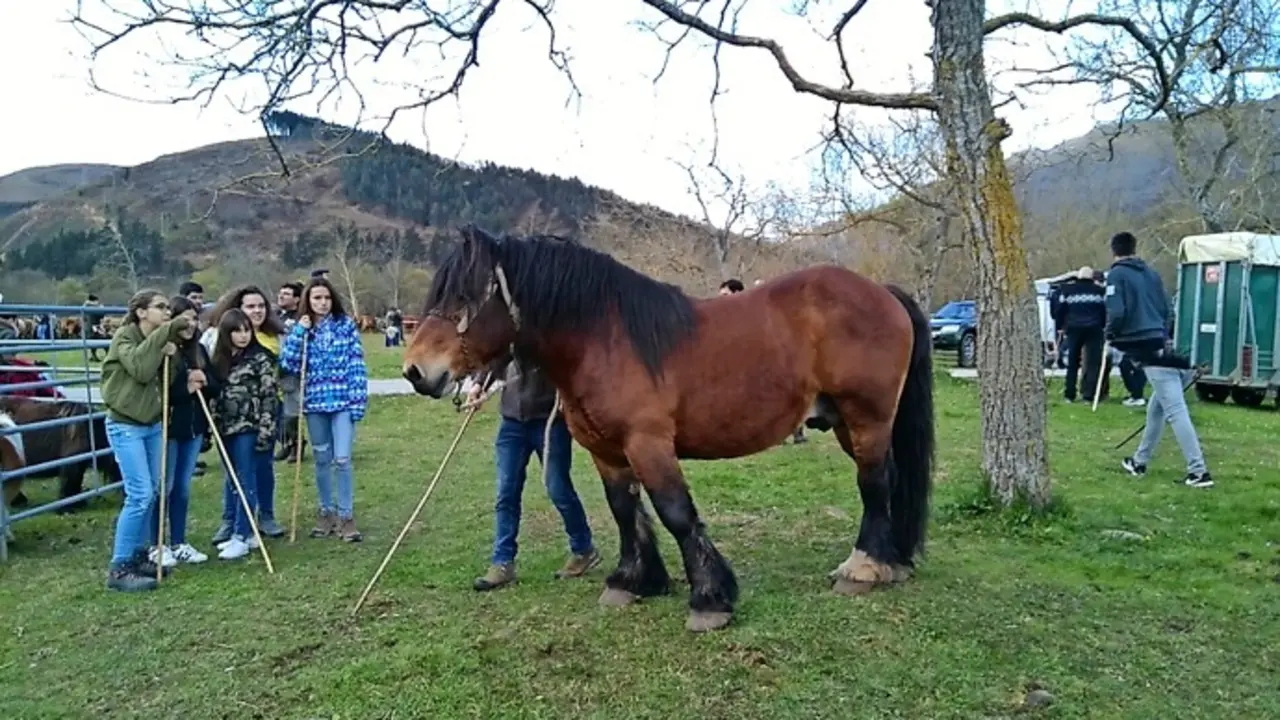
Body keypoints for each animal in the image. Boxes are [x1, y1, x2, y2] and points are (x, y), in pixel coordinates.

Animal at [401, 225, 936, 633]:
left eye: (464, 297)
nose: (415, 370)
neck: (604, 339)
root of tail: (881, 292)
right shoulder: (608, 452)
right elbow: (625, 512)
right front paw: (632, 580)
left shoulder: (649, 445)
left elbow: (676, 513)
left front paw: (710, 599)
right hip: (848, 423)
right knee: (885, 482)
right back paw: (892, 561)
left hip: (866, 418)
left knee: (874, 483)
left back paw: (862, 568)